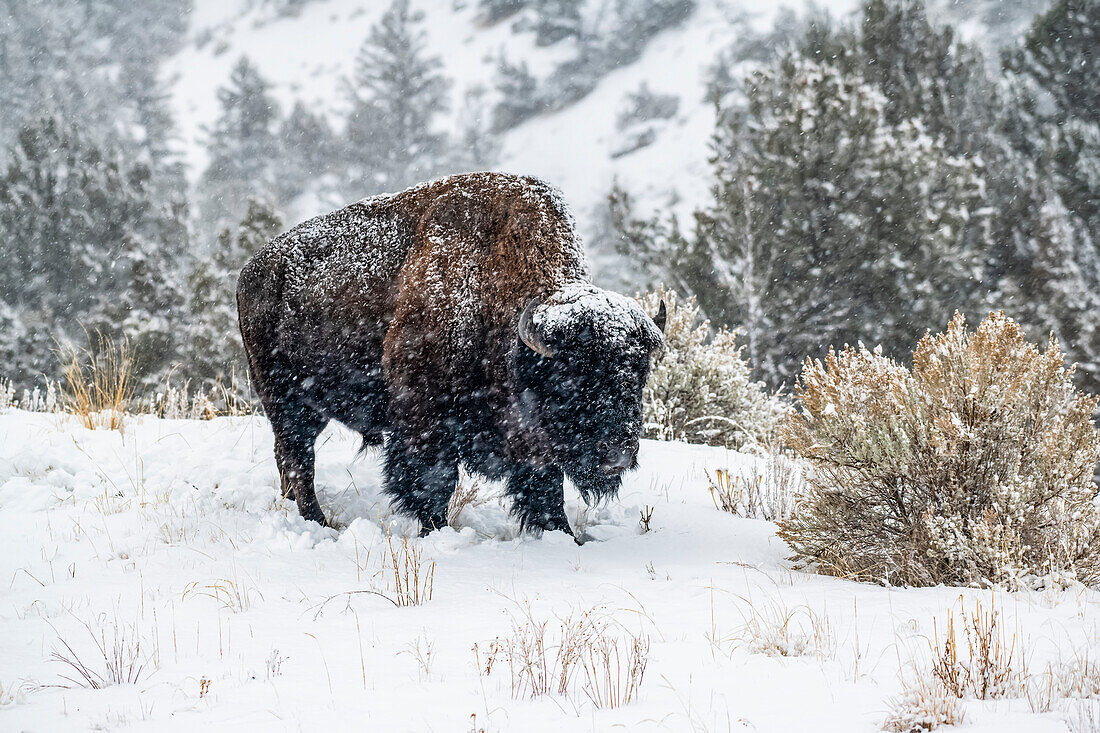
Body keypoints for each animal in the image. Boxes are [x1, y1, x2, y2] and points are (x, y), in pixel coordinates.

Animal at [237, 172, 664, 537]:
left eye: (639, 372)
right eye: (571, 375)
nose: (618, 453)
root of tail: (251, 270)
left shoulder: (532, 446)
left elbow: (545, 489)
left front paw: (563, 535)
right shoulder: (425, 422)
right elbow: (432, 483)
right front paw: (435, 531)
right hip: (286, 402)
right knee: (298, 460)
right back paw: (318, 522)